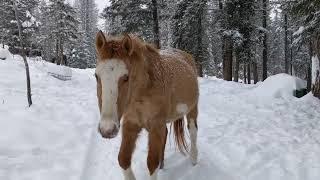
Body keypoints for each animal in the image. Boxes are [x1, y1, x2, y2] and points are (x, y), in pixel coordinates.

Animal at [94, 30, 199, 179]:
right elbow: (123, 159)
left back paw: (193, 159)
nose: (107, 129)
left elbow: (151, 163)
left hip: (192, 109)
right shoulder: (130, 125)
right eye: (96, 76)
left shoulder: (156, 125)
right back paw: (163, 164)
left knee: (193, 130)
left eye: (126, 77)